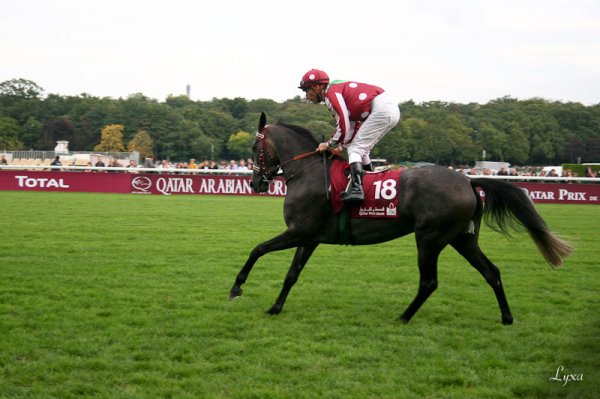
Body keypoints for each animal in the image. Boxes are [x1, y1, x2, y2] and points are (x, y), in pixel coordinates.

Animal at [229, 112, 572, 324]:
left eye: (254, 146)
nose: (255, 183)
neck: (309, 172)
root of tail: (467, 181)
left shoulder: (299, 231)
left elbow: (257, 249)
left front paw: (236, 288)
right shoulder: (309, 237)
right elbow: (291, 274)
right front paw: (275, 307)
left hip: (430, 238)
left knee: (429, 282)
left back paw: (404, 317)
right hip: (462, 238)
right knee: (492, 272)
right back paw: (506, 317)